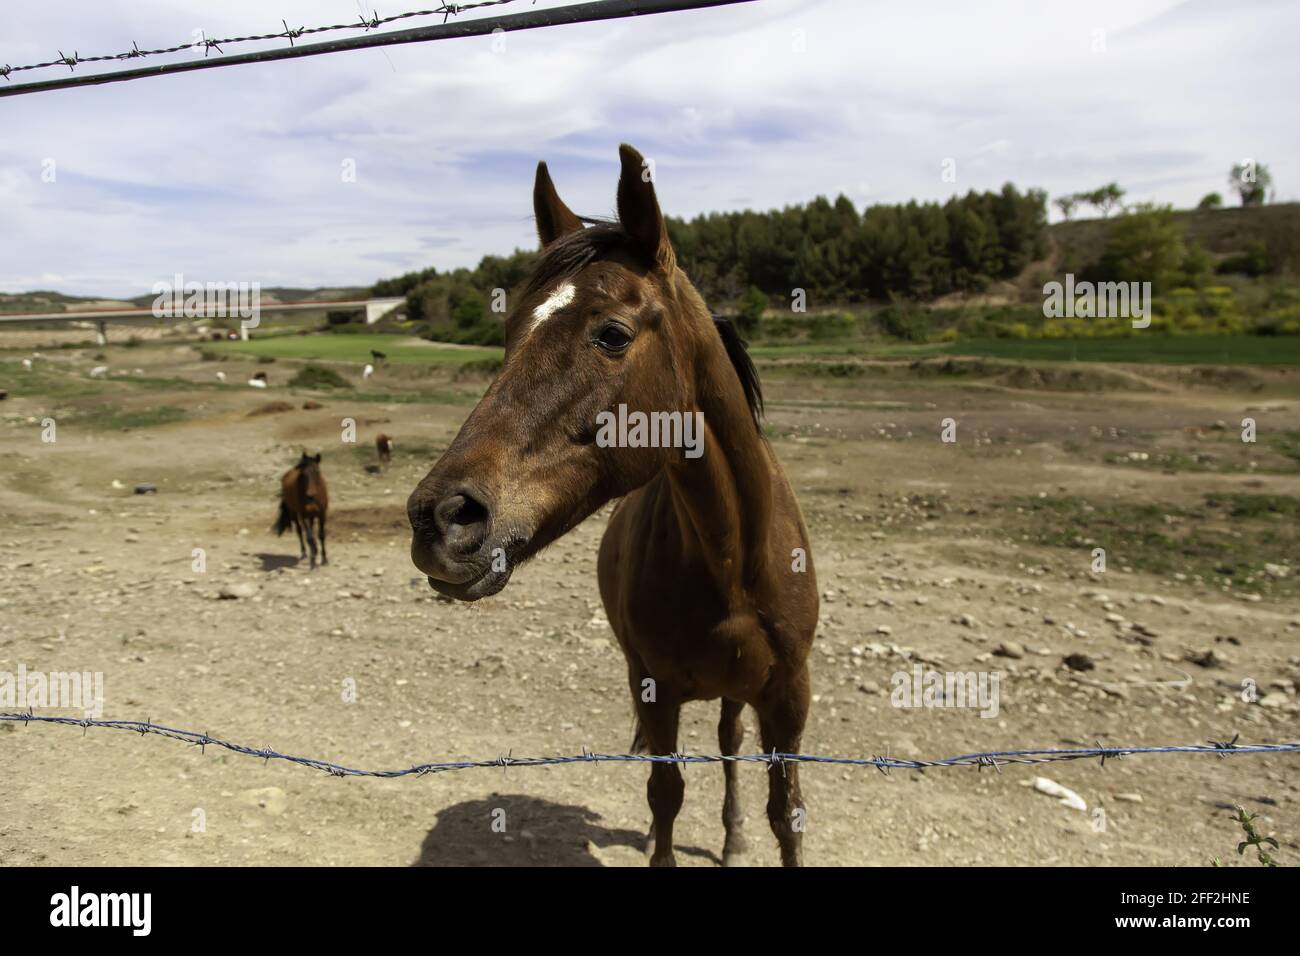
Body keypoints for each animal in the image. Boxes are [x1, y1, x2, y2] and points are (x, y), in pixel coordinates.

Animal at [405, 143, 816, 868]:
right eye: (509, 331)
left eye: (613, 334)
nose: (440, 518)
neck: (736, 562)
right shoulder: (655, 689)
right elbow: (666, 794)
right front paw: (660, 838)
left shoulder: (789, 699)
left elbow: (785, 815)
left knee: (729, 744)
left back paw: (732, 836)